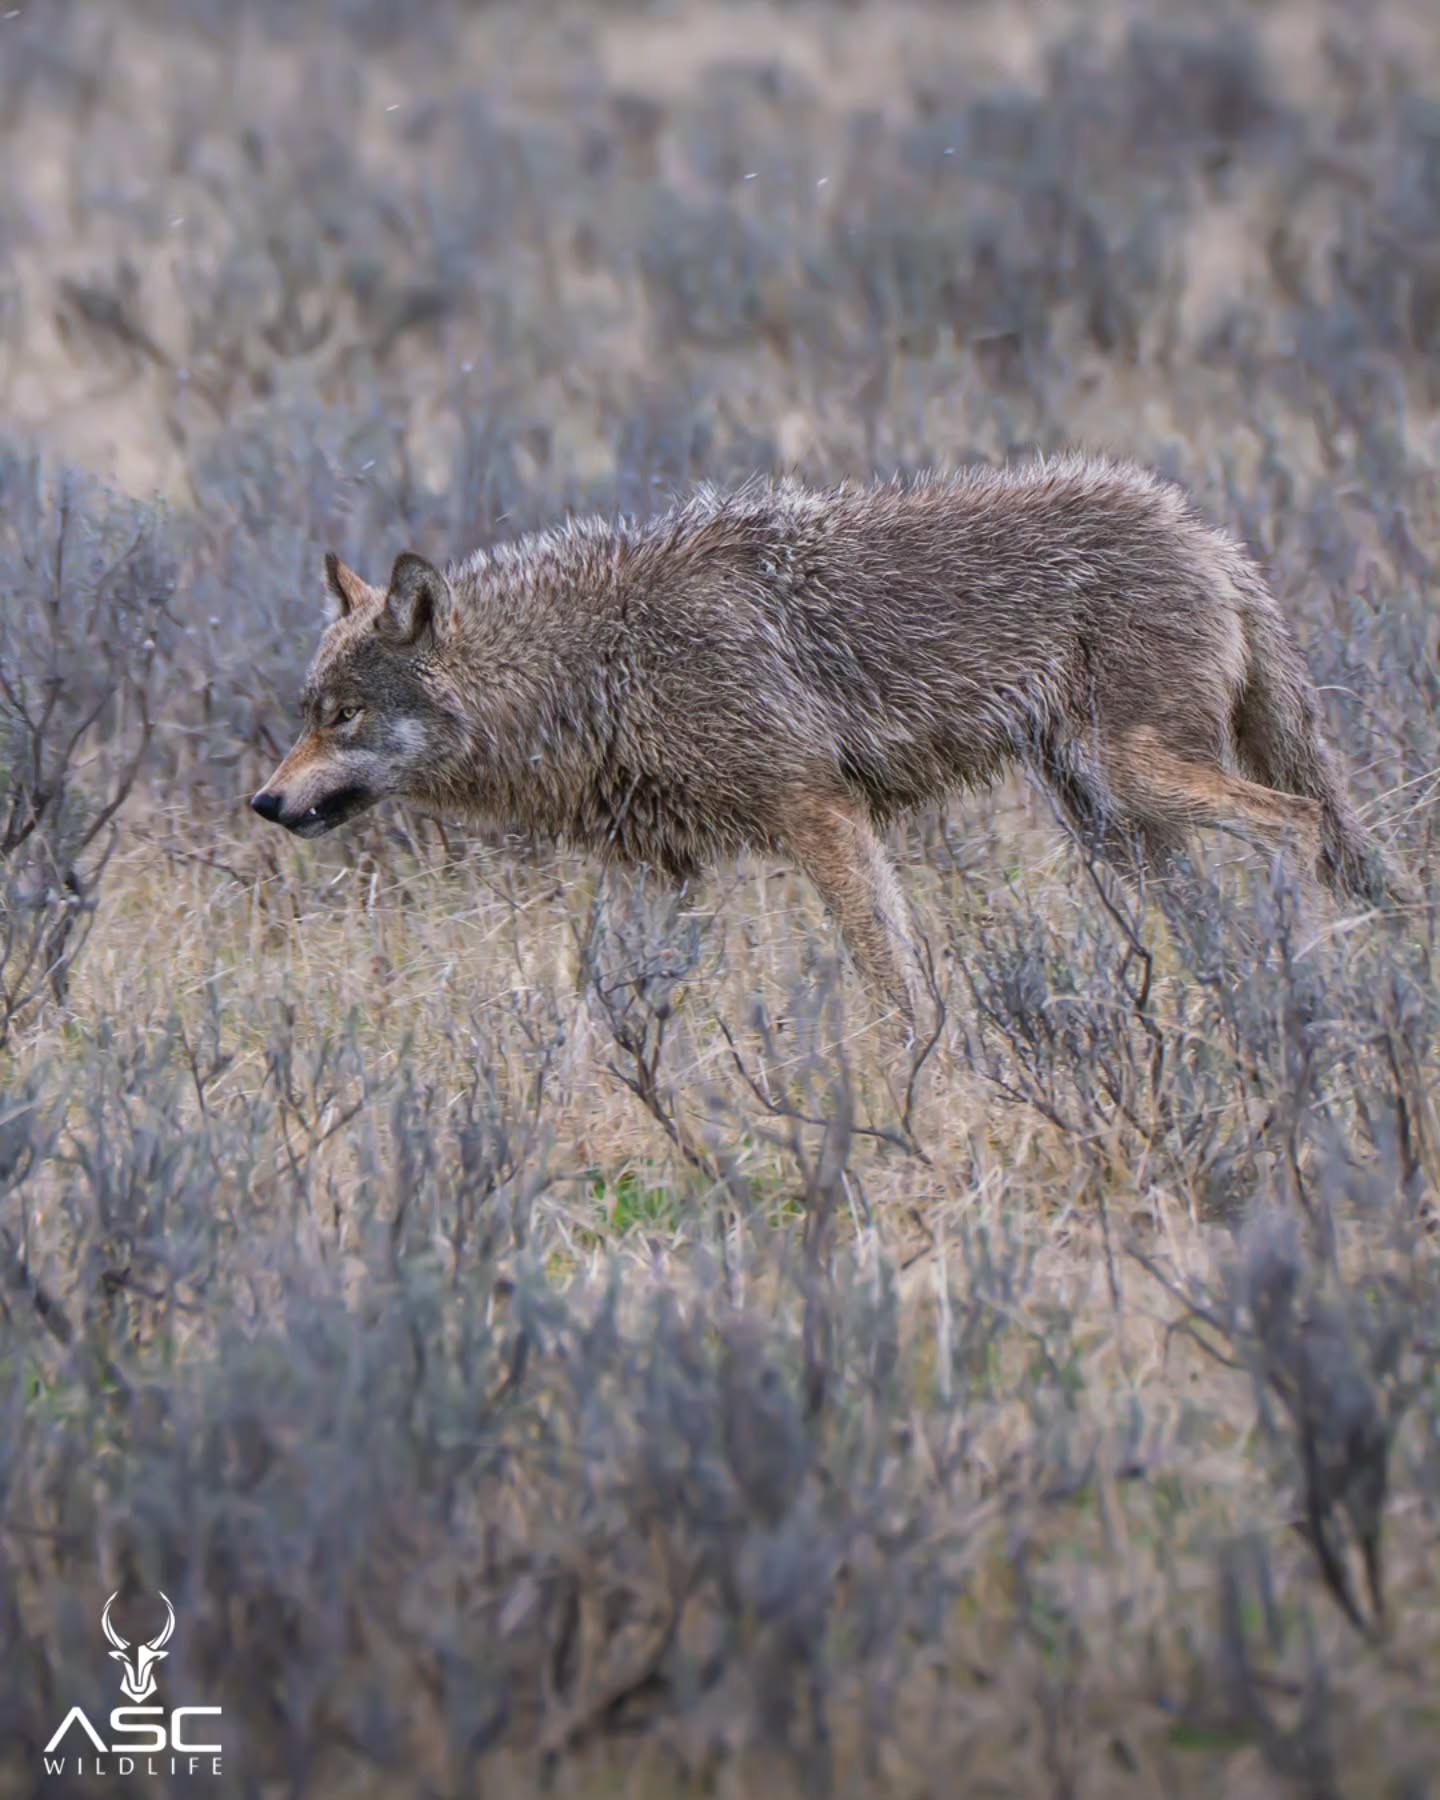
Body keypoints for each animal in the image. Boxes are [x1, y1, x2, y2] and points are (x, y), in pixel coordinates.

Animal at [251, 454, 1404, 1027]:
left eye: (341, 716)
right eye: (308, 712)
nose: (264, 802)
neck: (598, 663)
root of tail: (1210, 537)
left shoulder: (820, 814)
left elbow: (893, 982)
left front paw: (928, 1084)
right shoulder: (660, 869)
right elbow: (595, 1021)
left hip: (1138, 784)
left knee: (1295, 825)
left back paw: (1303, 986)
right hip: (1116, 821)